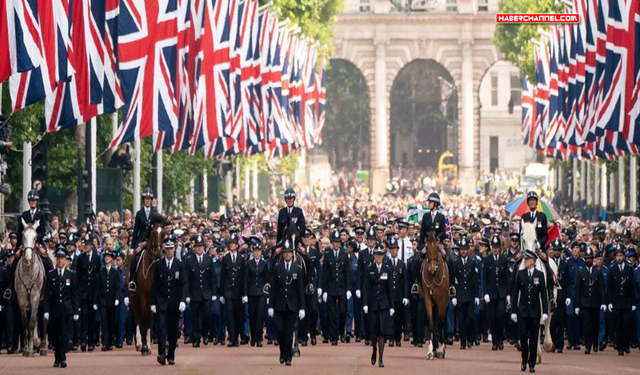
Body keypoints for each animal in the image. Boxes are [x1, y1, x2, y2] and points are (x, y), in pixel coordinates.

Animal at [125, 223, 165, 356]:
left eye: (164, 233)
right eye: (152, 232)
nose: (158, 253)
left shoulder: (153, 298)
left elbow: (150, 318)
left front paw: (148, 345)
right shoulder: (143, 296)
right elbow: (144, 318)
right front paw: (144, 347)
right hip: (133, 296)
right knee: (137, 317)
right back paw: (138, 344)